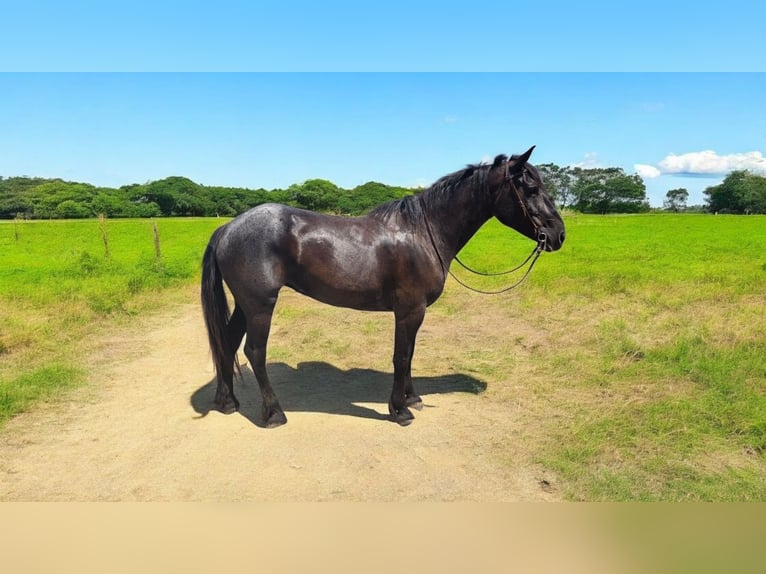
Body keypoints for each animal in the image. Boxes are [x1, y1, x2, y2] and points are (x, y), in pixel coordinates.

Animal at [201, 146, 565, 427]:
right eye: (531, 189)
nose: (558, 235)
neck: (424, 232)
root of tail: (228, 228)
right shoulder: (409, 311)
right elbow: (401, 356)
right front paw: (400, 410)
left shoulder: (413, 313)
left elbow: (411, 353)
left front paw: (412, 398)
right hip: (260, 305)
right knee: (254, 352)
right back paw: (274, 413)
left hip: (245, 305)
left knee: (227, 344)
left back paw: (227, 402)